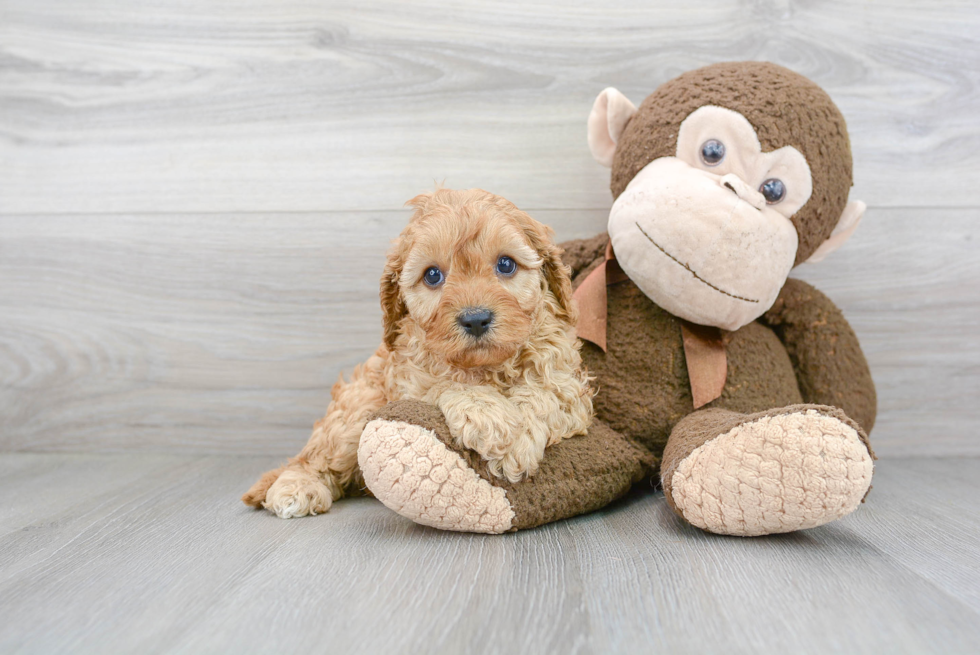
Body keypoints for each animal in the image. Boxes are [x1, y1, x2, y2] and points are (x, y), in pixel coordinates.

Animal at [245, 187, 596, 520]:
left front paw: (518, 440)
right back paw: (297, 488)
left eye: (506, 264)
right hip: (356, 412)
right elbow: (443, 384)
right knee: (313, 458)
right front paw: (491, 418)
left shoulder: (567, 382)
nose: (476, 319)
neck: (486, 367)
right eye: (432, 275)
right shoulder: (407, 379)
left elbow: (546, 392)